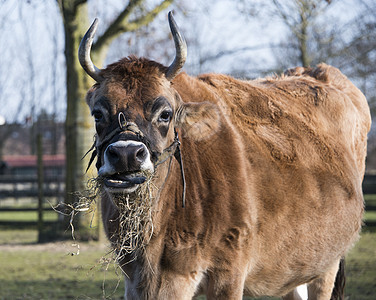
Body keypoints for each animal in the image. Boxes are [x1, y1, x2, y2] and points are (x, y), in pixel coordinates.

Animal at [78, 12, 370, 300]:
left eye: (165, 113)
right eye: (98, 114)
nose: (126, 154)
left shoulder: (229, 272)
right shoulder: (134, 279)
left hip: (328, 264)